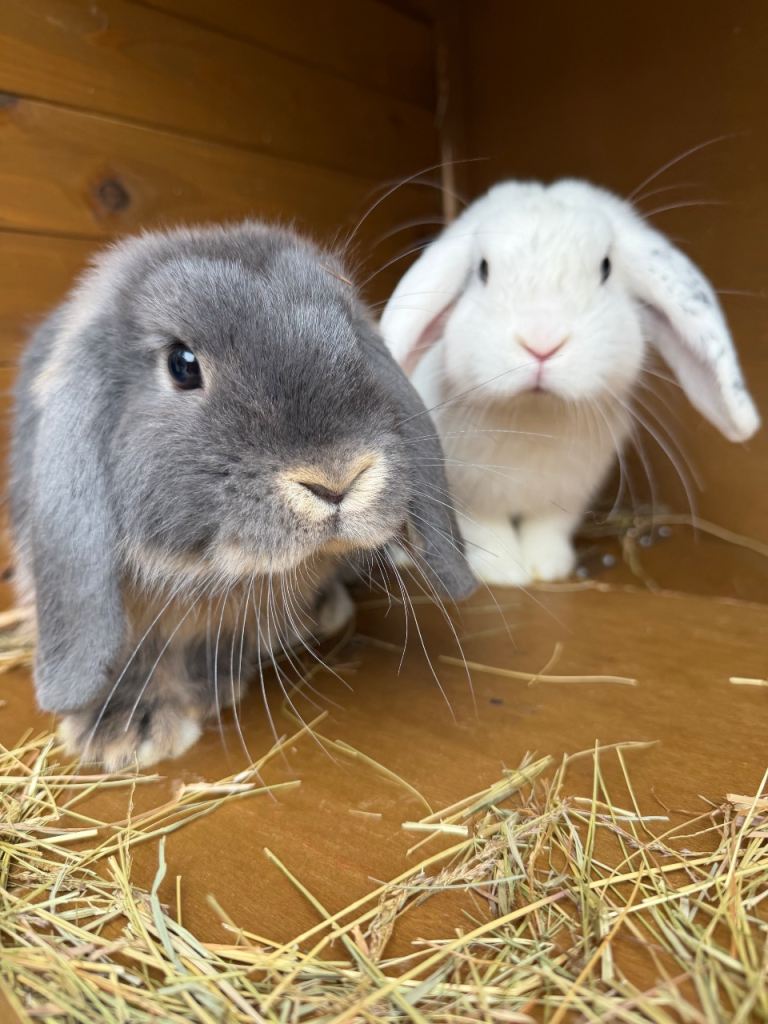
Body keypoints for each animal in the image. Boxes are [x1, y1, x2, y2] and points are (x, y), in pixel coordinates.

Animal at [9, 221, 475, 770]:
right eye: (182, 364)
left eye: (355, 346)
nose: (336, 478)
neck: (217, 578)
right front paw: (123, 732)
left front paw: (212, 686)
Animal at [380, 179, 760, 586]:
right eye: (482, 269)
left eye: (606, 268)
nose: (542, 342)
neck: (535, 417)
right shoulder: (467, 498)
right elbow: (485, 530)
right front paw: (504, 573)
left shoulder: (568, 497)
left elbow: (548, 528)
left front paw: (547, 568)